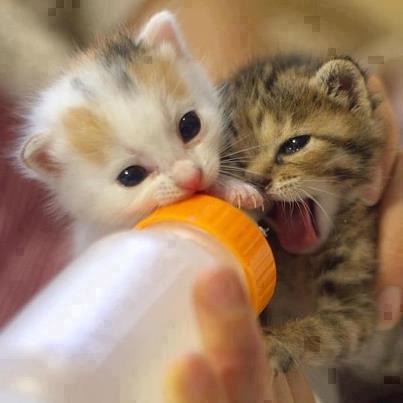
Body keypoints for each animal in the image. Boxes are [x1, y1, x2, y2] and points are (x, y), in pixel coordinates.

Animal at [223, 56, 402, 388]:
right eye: (236, 161)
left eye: (294, 144)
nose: (257, 181)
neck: (300, 263)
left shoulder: (358, 309)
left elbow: (323, 331)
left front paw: (274, 344)